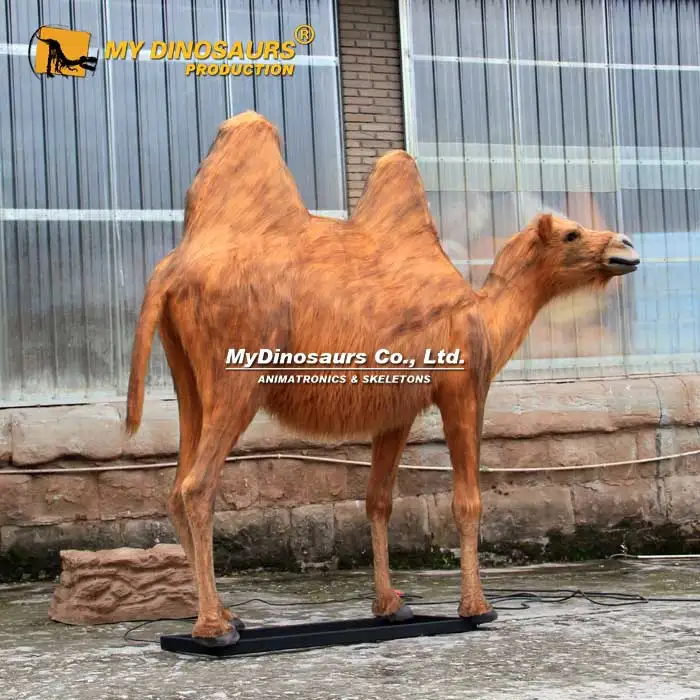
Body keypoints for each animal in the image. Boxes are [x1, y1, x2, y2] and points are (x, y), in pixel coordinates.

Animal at [124, 111, 640, 646]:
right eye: (571, 234)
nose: (625, 247)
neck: (485, 316)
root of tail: (169, 272)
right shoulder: (461, 389)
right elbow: (467, 501)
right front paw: (477, 607)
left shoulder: (396, 412)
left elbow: (378, 501)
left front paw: (391, 605)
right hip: (239, 377)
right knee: (197, 487)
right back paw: (212, 629)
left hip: (187, 377)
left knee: (176, 485)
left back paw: (227, 616)